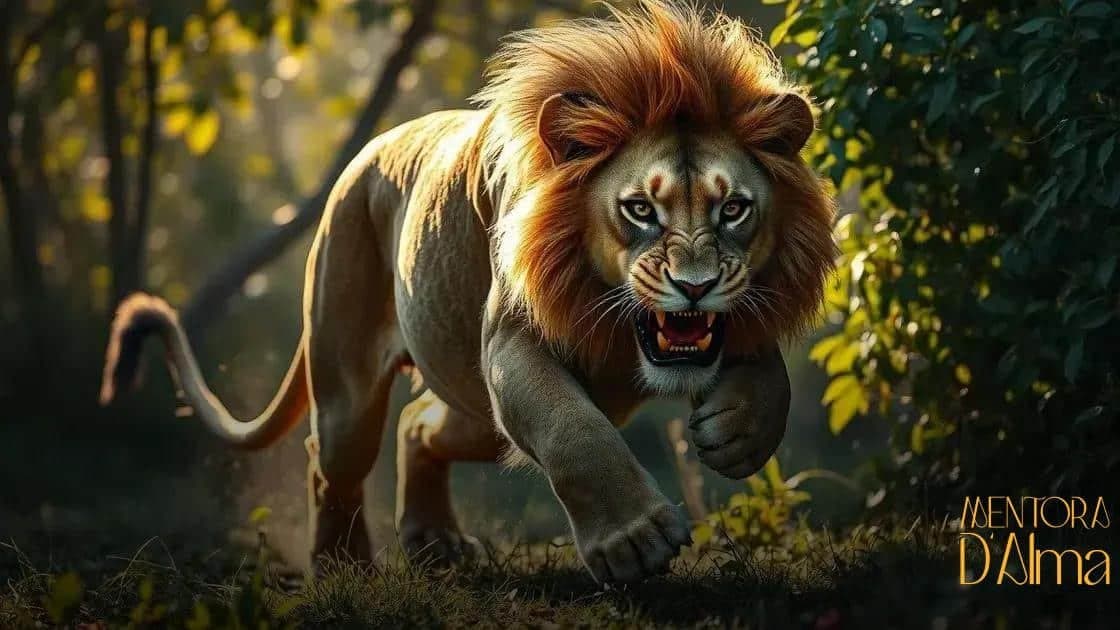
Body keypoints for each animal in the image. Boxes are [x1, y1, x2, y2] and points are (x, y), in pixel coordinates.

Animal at [100, 0, 835, 583]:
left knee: (419, 422)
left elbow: (767, 368)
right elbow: (572, 433)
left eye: (733, 209)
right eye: (640, 210)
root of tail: (362, 158)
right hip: (351, 383)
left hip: (476, 409)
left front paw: (739, 433)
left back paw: (436, 543)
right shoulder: (511, 341)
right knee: (331, 459)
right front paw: (634, 540)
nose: (695, 287)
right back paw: (344, 568)